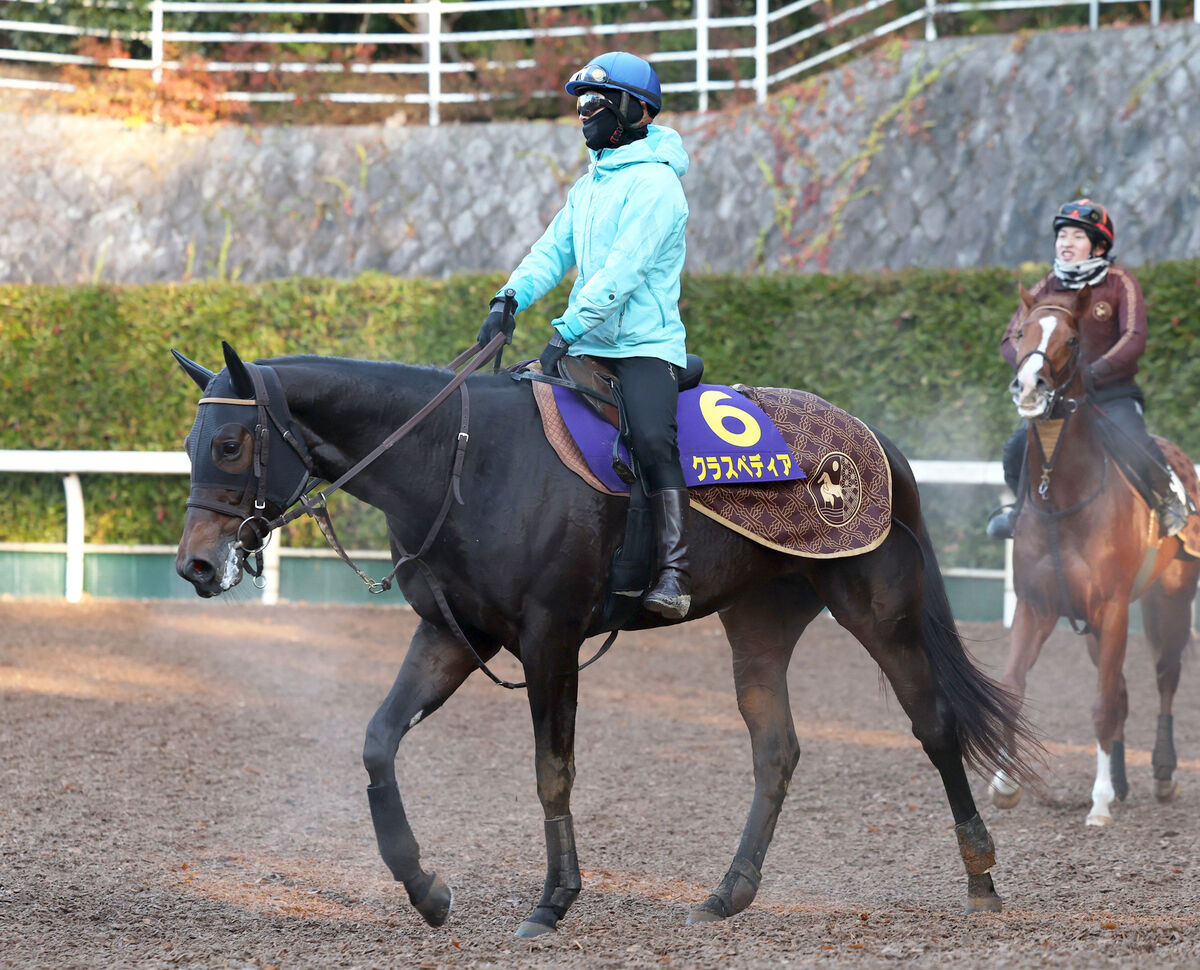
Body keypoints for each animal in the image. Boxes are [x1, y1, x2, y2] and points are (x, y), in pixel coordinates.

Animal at [171, 343, 1041, 941]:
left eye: (228, 445)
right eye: (188, 444)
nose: (195, 564)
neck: (461, 456)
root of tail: (875, 440)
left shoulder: (550, 638)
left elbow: (551, 771)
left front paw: (553, 902)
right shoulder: (453, 634)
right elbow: (379, 741)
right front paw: (426, 887)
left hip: (878, 609)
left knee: (935, 726)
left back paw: (981, 878)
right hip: (759, 623)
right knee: (777, 751)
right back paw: (729, 893)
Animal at [988, 285, 1195, 825]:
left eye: (1072, 339)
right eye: (1021, 332)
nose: (1030, 386)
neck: (1059, 495)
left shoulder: (1113, 606)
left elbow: (1103, 703)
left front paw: (1099, 803)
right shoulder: (1037, 606)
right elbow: (1013, 686)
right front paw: (1005, 784)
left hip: (1171, 599)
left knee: (1165, 677)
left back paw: (1161, 774)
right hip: (1094, 628)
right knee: (1122, 690)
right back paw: (1121, 781)